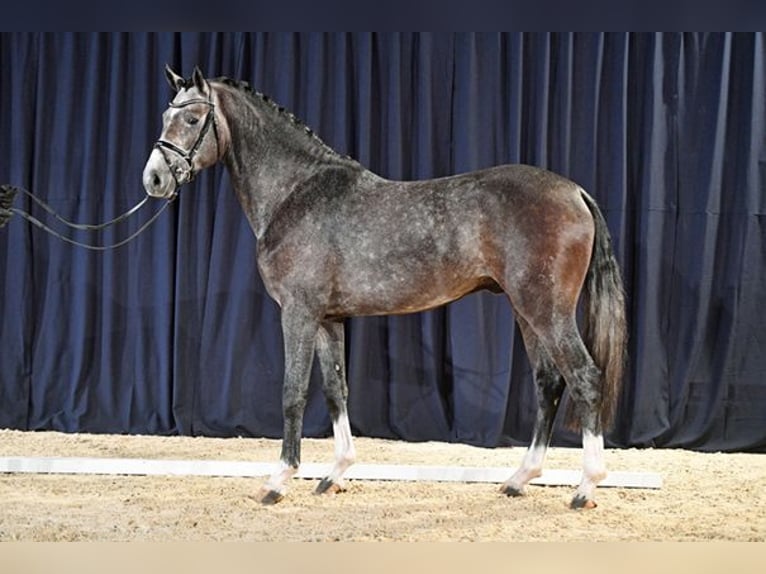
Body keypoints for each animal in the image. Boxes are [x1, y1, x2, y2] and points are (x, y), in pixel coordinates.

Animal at [144, 65, 632, 510]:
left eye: (192, 119)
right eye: (165, 115)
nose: (154, 179)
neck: (296, 192)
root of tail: (575, 192)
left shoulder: (298, 313)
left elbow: (292, 393)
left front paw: (278, 481)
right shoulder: (329, 319)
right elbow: (335, 390)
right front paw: (335, 475)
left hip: (546, 310)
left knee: (584, 378)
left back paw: (586, 488)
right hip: (526, 310)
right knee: (549, 383)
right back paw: (519, 479)